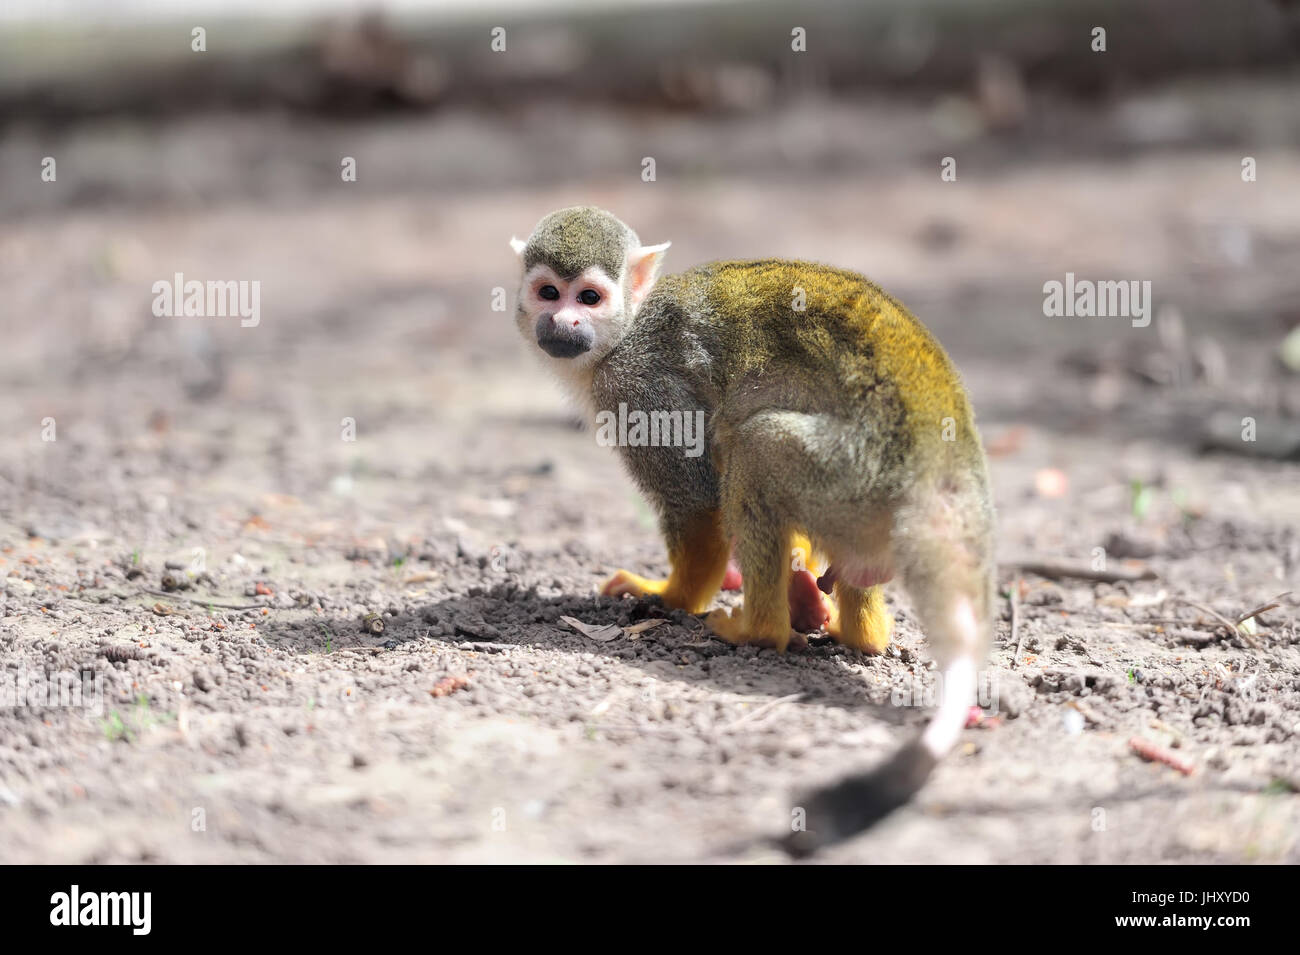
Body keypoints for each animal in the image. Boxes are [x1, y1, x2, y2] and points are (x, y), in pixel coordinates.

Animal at [506, 209, 993, 852]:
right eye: (547, 292)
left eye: (589, 297)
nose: (562, 321)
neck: (626, 331)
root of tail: (943, 463)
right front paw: (800, 572)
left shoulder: (640, 387)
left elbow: (697, 505)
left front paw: (670, 596)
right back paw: (855, 630)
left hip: (856, 468)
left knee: (754, 444)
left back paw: (759, 629)